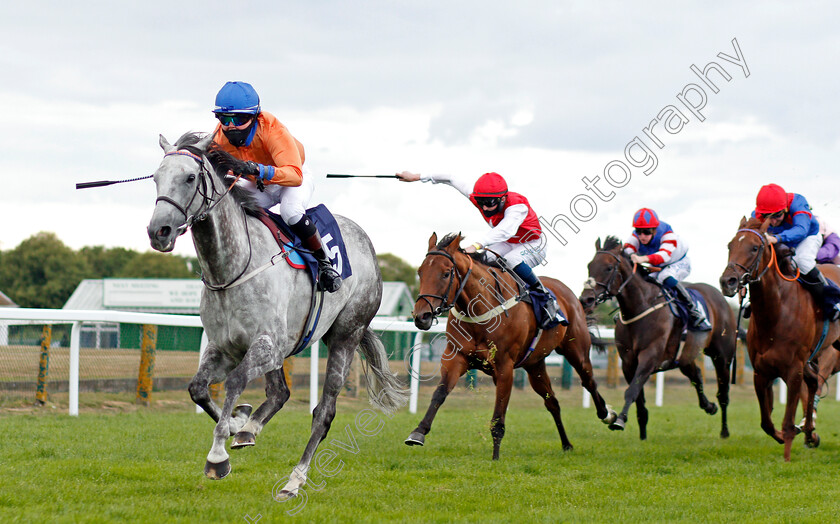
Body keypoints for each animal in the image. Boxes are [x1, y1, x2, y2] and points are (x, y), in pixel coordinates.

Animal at [146, 132, 408, 500]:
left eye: (190, 177)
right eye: (156, 178)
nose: (160, 231)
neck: (232, 267)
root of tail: (365, 242)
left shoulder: (265, 345)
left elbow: (235, 382)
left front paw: (217, 457)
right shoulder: (224, 347)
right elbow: (198, 388)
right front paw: (237, 422)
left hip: (345, 335)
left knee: (323, 412)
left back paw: (294, 480)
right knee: (279, 392)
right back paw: (249, 428)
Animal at [406, 233, 616, 458]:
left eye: (446, 273)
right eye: (420, 272)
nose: (421, 316)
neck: (479, 308)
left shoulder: (504, 366)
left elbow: (498, 416)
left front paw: (495, 457)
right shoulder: (456, 357)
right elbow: (440, 393)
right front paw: (418, 432)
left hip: (576, 351)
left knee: (589, 381)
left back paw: (609, 415)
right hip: (535, 365)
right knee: (552, 402)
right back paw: (567, 444)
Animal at [576, 236, 736, 438]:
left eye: (609, 268)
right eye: (589, 265)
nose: (586, 299)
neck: (641, 306)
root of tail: (720, 297)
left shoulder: (649, 357)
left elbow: (631, 391)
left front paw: (619, 421)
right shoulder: (629, 363)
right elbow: (639, 402)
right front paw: (642, 436)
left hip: (721, 356)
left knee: (723, 393)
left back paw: (724, 431)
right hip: (685, 355)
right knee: (696, 375)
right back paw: (709, 406)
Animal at [716, 215, 840, 460]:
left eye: (755, 247)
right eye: (730, 246)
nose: (728, 281)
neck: (777, 311)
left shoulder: (794, 370)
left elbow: (788, 420)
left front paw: (787, 456)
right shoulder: (761, 371)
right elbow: (766, 422)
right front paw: (789, 435)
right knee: (813, 382)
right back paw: (810, 431)